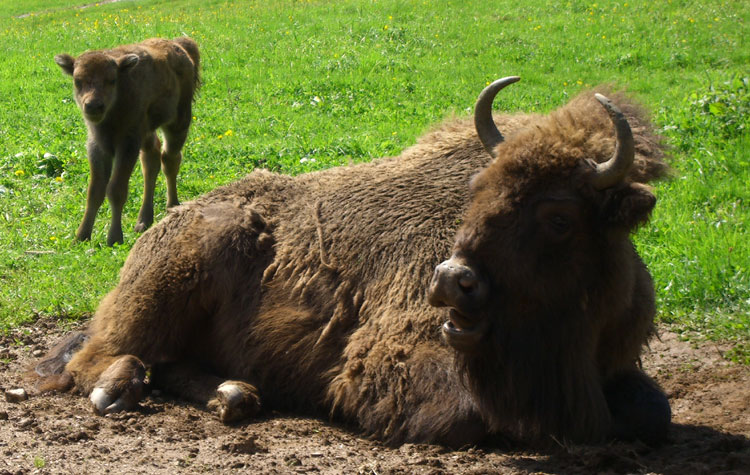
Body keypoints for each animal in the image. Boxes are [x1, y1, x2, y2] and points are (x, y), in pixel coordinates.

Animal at [38, 76, 676, 448]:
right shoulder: (391, 364)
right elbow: (469, 418)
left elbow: (655, 412)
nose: (453, 281)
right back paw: (118, 391)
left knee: (170, 365)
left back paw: (235, 395)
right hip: (163, 291)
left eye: (560, 217)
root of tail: (172, 219)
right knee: (100, 356)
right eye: (478, 191)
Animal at [54, 37, 200, 245]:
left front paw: (115, 238)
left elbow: (116, 189)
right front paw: (81, 236)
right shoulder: (98, 146)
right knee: (152, 161)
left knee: (170, 159)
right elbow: (95, 190)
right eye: (77, 81)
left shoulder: (128, 144)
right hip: (147, 133)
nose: (93, 106)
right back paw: (143, 221)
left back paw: (172, 206)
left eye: (111, 80)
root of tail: (180, 45)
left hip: (178, 122)